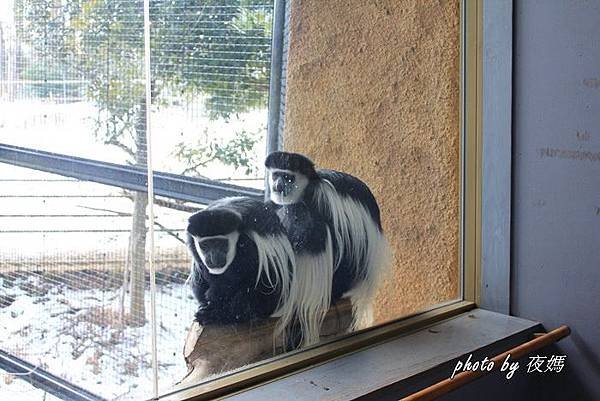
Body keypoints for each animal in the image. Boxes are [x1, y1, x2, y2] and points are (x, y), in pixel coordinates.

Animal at [184, 196, 294, 324]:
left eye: (221, 244)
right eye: (205, 245)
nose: (214, 258)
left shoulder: (248, 245)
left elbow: (236, 277)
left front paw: (214, 298)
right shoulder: (192, 243)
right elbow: (205, 272)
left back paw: (219, 315)